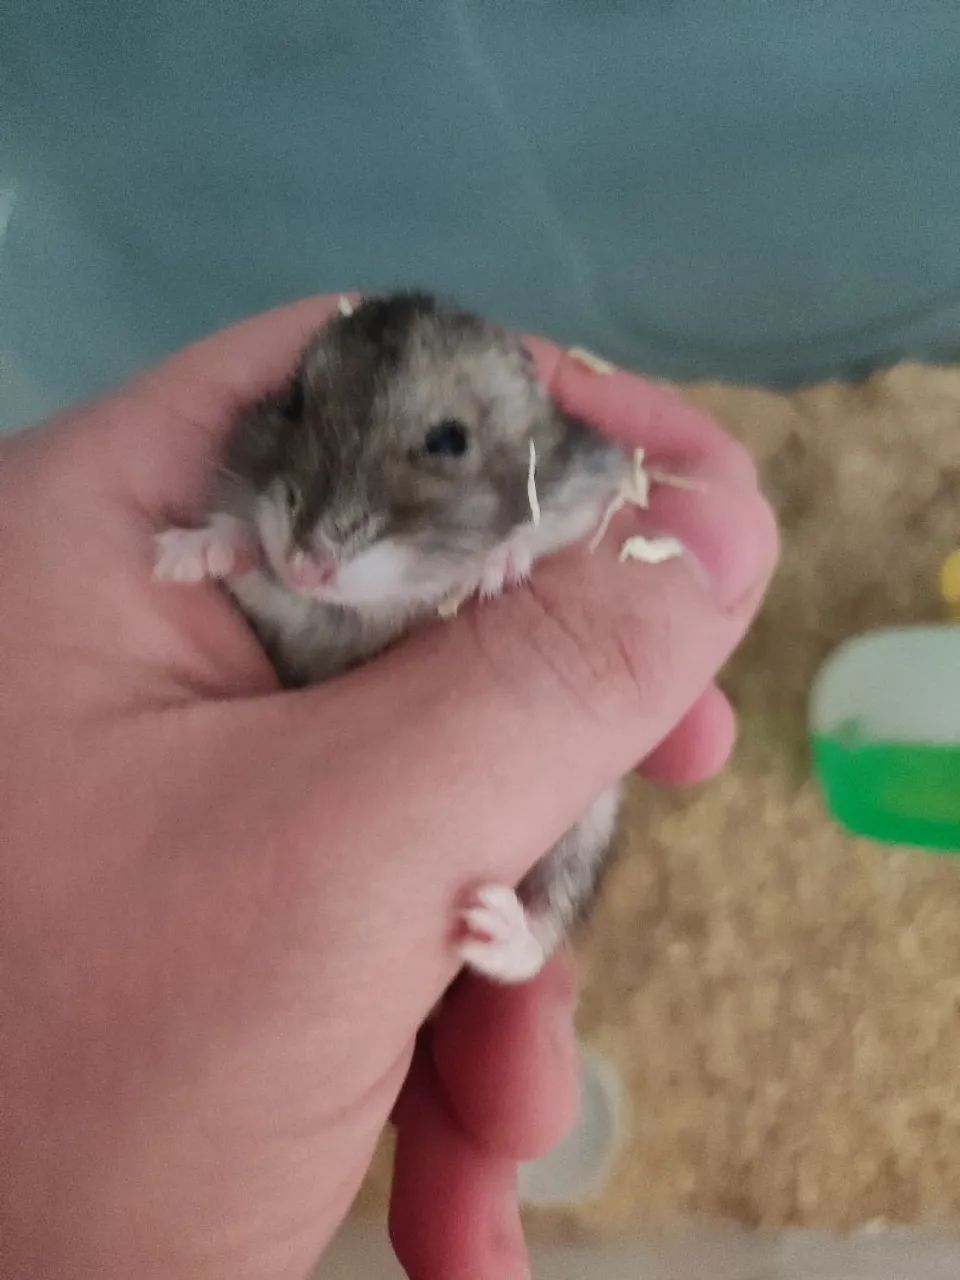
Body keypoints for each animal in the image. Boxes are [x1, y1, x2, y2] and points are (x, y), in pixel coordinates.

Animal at [155, 291, 631, 983]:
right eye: (293, 399)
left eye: (448, 440)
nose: (307, 565)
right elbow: (260, 573)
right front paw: (185, 555)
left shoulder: (592, 483)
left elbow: (552, 523)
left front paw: (495, 568)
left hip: (588, 823)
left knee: (546, 926)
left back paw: (488, 927)